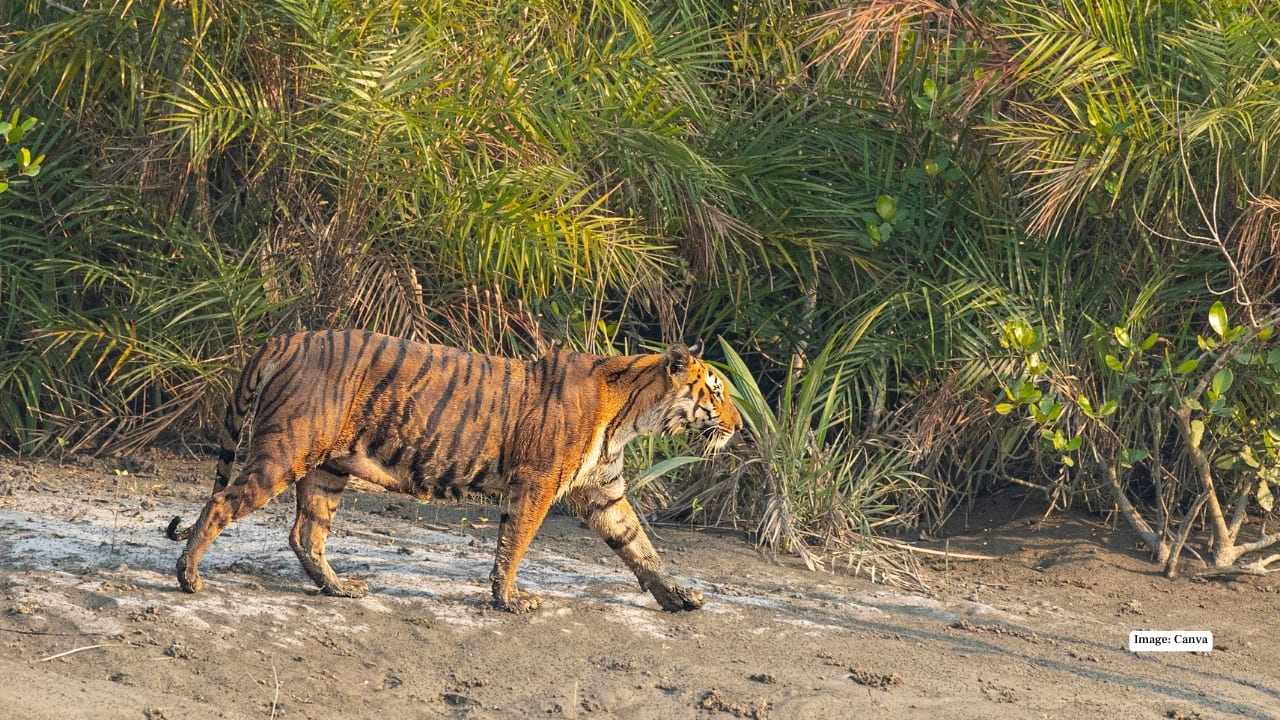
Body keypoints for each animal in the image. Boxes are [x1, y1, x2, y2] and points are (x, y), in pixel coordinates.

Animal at [169, 329, 742, 613]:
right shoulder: (536, 484)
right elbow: (515, 544)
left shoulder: (604, 493)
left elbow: (640, 546)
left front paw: (676, 596)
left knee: (305, 533)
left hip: (327, 468)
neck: (632, 414)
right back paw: (188, 577)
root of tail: (285, 339)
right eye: (716, 391)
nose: (739, 426)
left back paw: (340, 589)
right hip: (285, 451)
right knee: (221, 502)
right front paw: (509, 600)